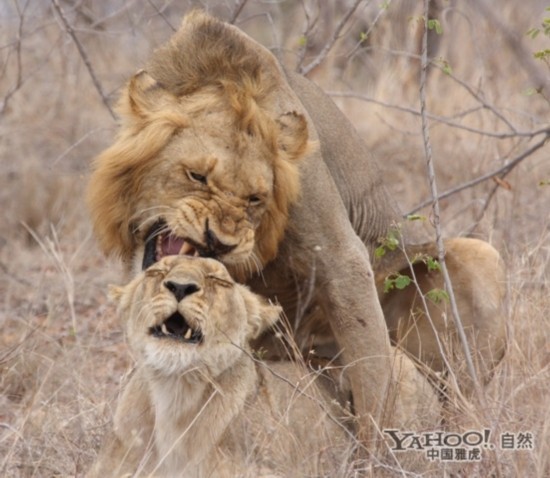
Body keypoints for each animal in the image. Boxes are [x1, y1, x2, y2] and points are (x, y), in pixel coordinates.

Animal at [88, 11, 506, 442]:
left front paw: (378, 451)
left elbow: (374, 372)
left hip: (481, 257)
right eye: (196, 175)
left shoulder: (342, 256)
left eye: (255, 199)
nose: (219, 242)